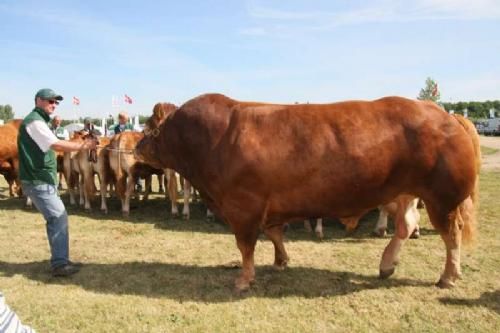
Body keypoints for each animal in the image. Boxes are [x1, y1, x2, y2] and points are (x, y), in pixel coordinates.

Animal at [135, 93, 478, 290]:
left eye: (152, 125)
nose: (137, 145)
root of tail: (445, 114)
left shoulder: (243, 206)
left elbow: (245, 246)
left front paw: (244, 279)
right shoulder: (268, 206)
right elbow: (274, 233)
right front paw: (281, 260)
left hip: (442, 198)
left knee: (451, 234)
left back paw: (448, 276)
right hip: (404, 193)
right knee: (406, 225)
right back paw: (386, 265)